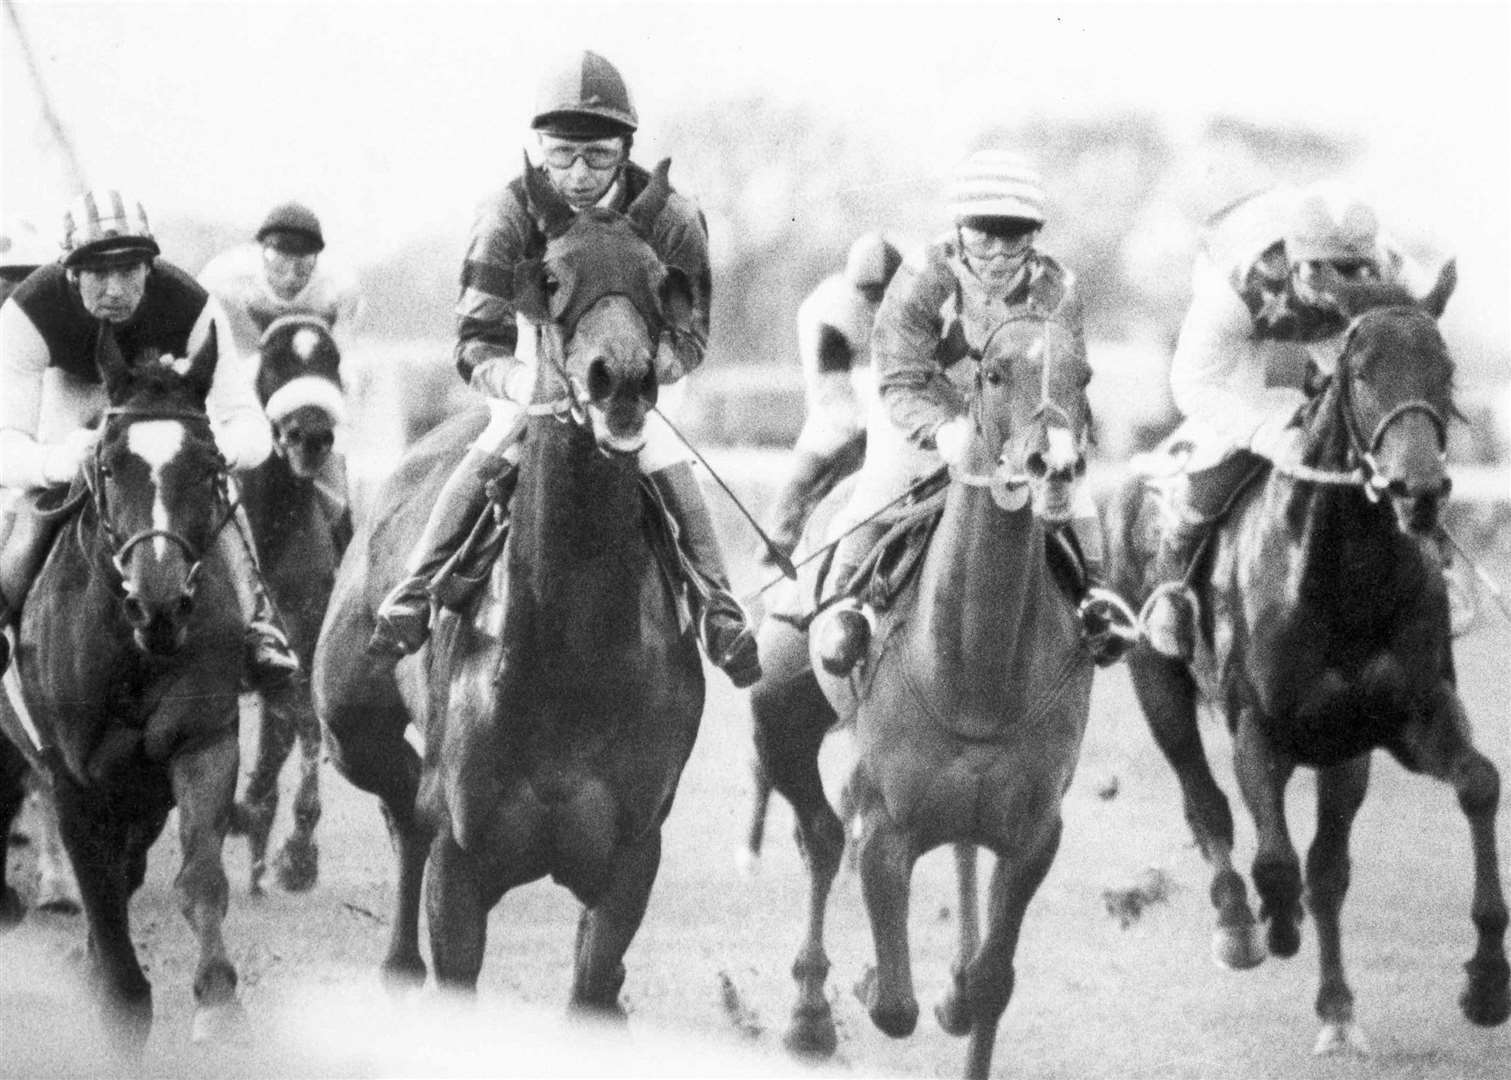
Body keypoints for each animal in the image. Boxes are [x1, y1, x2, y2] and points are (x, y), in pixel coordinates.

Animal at [0, 324, 247, 1051]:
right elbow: (104, 902)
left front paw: (217, 1002)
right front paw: (119, 997)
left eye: (208, 465)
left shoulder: (201, 742)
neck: (134, 651)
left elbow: (199, 875)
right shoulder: (73, 778)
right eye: (109, 466)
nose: (159, 602)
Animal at [311, 160, 707, 1015]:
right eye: (550, 276)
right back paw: (396, 963)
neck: (572, 652)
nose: (620, 379)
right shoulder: (462, 863)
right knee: (401, 808)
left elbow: (592, 983)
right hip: (349, 723)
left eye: (658, 276)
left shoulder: (630, 861)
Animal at [1106, 270, 1504, 1057]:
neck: (1342, 578)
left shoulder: (1408, 718)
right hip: (1154, 680)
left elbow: (1477, 784)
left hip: (1343, 750)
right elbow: (1273, 859)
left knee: (1326, 867)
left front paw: (1485, 982)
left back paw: (1338, 1010)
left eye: (1445, 372)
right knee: (1207, 805)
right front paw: (1270, 920)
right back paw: (1238, 923)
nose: (1419, 490)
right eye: (1360, 373)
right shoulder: (1257, 729)